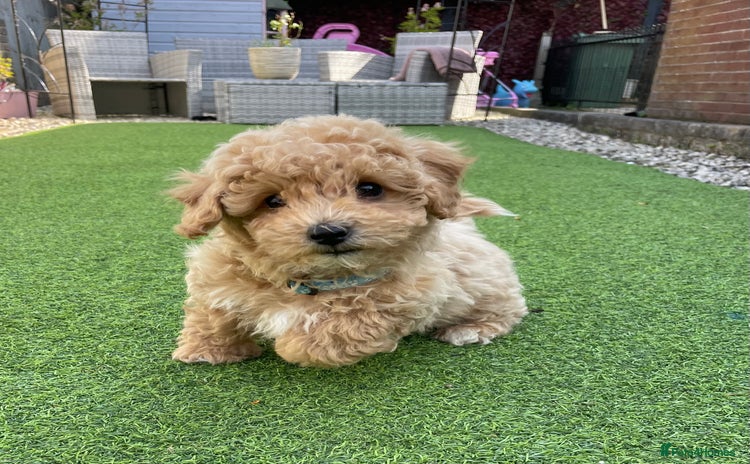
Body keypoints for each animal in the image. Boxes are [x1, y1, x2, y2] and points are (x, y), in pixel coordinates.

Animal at [170, 115, 527, 367]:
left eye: (370, 189)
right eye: (272, 201)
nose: (328, 231)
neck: (311, 280)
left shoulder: (407, 294)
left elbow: (339, 327)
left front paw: (290, 342)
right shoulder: (218, 274)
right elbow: (212, 311)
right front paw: (207, 350)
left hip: (487, 284)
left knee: (508, 309)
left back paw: (471, 329)